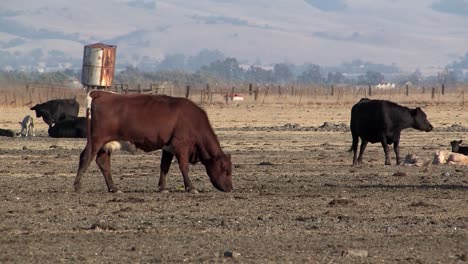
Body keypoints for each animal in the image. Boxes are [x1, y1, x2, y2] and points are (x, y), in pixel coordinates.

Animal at [74, 92, 233, 193]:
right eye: (226, 170)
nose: (231, 189)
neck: (193, 120)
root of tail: (101, 93)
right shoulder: (181, 145)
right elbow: (183, 167)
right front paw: (191, 188)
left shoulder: (168, 147)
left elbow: (164, 167)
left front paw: (163, 188)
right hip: (96, 140)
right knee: (86, 157)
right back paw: (78, 186)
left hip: (106, 144)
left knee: (102, 162)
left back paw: (114, 188)